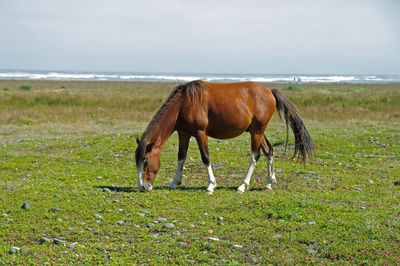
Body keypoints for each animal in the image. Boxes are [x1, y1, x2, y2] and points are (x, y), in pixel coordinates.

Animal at [134, 80, 312, 194]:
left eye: (146, 161)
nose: (142, 187)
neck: (184, 103)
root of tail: (270, 92)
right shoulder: (184, 133)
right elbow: (181, 158)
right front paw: (174, 183)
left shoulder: (200, 133)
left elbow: (205, 158)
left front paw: (211, 186)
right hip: (257, 131)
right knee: (269, 150)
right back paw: (268, 183)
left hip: (256, 132)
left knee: (255, 156)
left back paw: (242, 185)